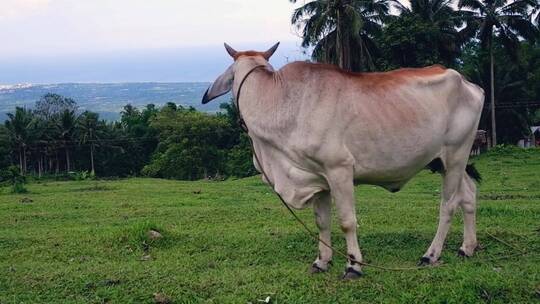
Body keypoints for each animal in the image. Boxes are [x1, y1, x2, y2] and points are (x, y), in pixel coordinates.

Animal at [202, 42, 486, 280]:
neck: (282, 103)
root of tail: (469, 83)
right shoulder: (317, 178)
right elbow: (322, 221)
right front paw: (321, 261)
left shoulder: (339, 170)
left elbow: (347, 222)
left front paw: (353, 266)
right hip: (444, 162)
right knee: (469, 195)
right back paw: (467, 248)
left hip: (456, 156)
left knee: (448, 205)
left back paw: (431, 255)